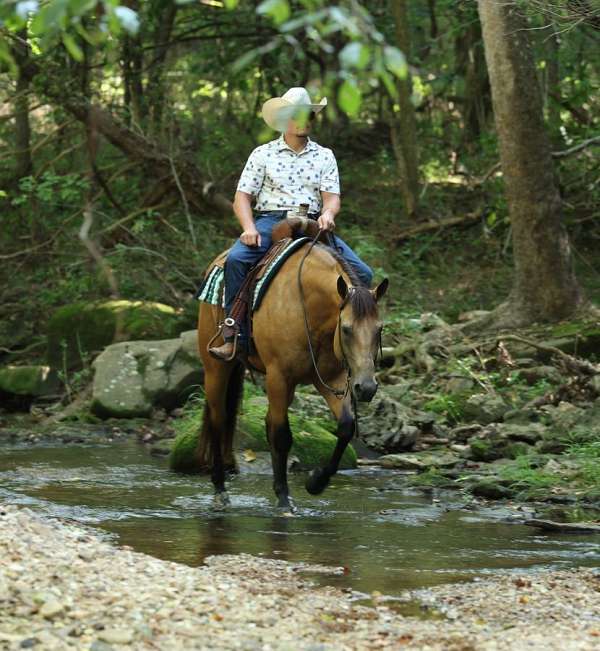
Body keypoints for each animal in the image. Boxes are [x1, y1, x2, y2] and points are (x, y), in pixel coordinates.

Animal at [196, 221, 388, 510]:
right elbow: (282, 435)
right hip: (216, 367)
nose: (365, 388)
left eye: (379, 329)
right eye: (346, 329)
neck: (308, 306)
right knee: (219, 420)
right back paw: (219, 488)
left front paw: (315, 482)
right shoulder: (278, 376)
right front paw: (285, 499)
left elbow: (345, 427)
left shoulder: (330, 378)